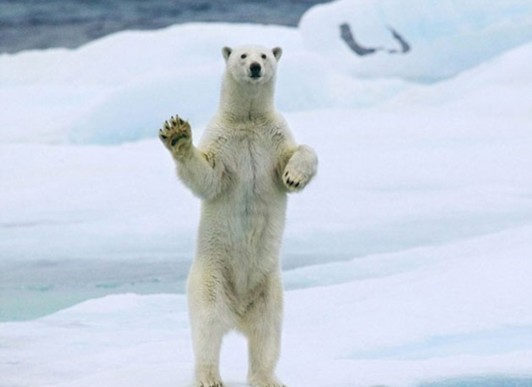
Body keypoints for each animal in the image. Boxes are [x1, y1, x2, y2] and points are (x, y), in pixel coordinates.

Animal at [158, 46, 316, 387]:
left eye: (266, 54)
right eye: (243, 55)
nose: (255, 66)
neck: (248, 120)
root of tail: (238, 313)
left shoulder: (274, 138)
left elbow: (301, 152)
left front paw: (294, 177)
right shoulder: (223, 142)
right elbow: (207, 177)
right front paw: (177, 134)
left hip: (270, 289)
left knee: (267, 333)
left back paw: (267, 378)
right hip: (211, 278)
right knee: (207, 327)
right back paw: (209, 377)